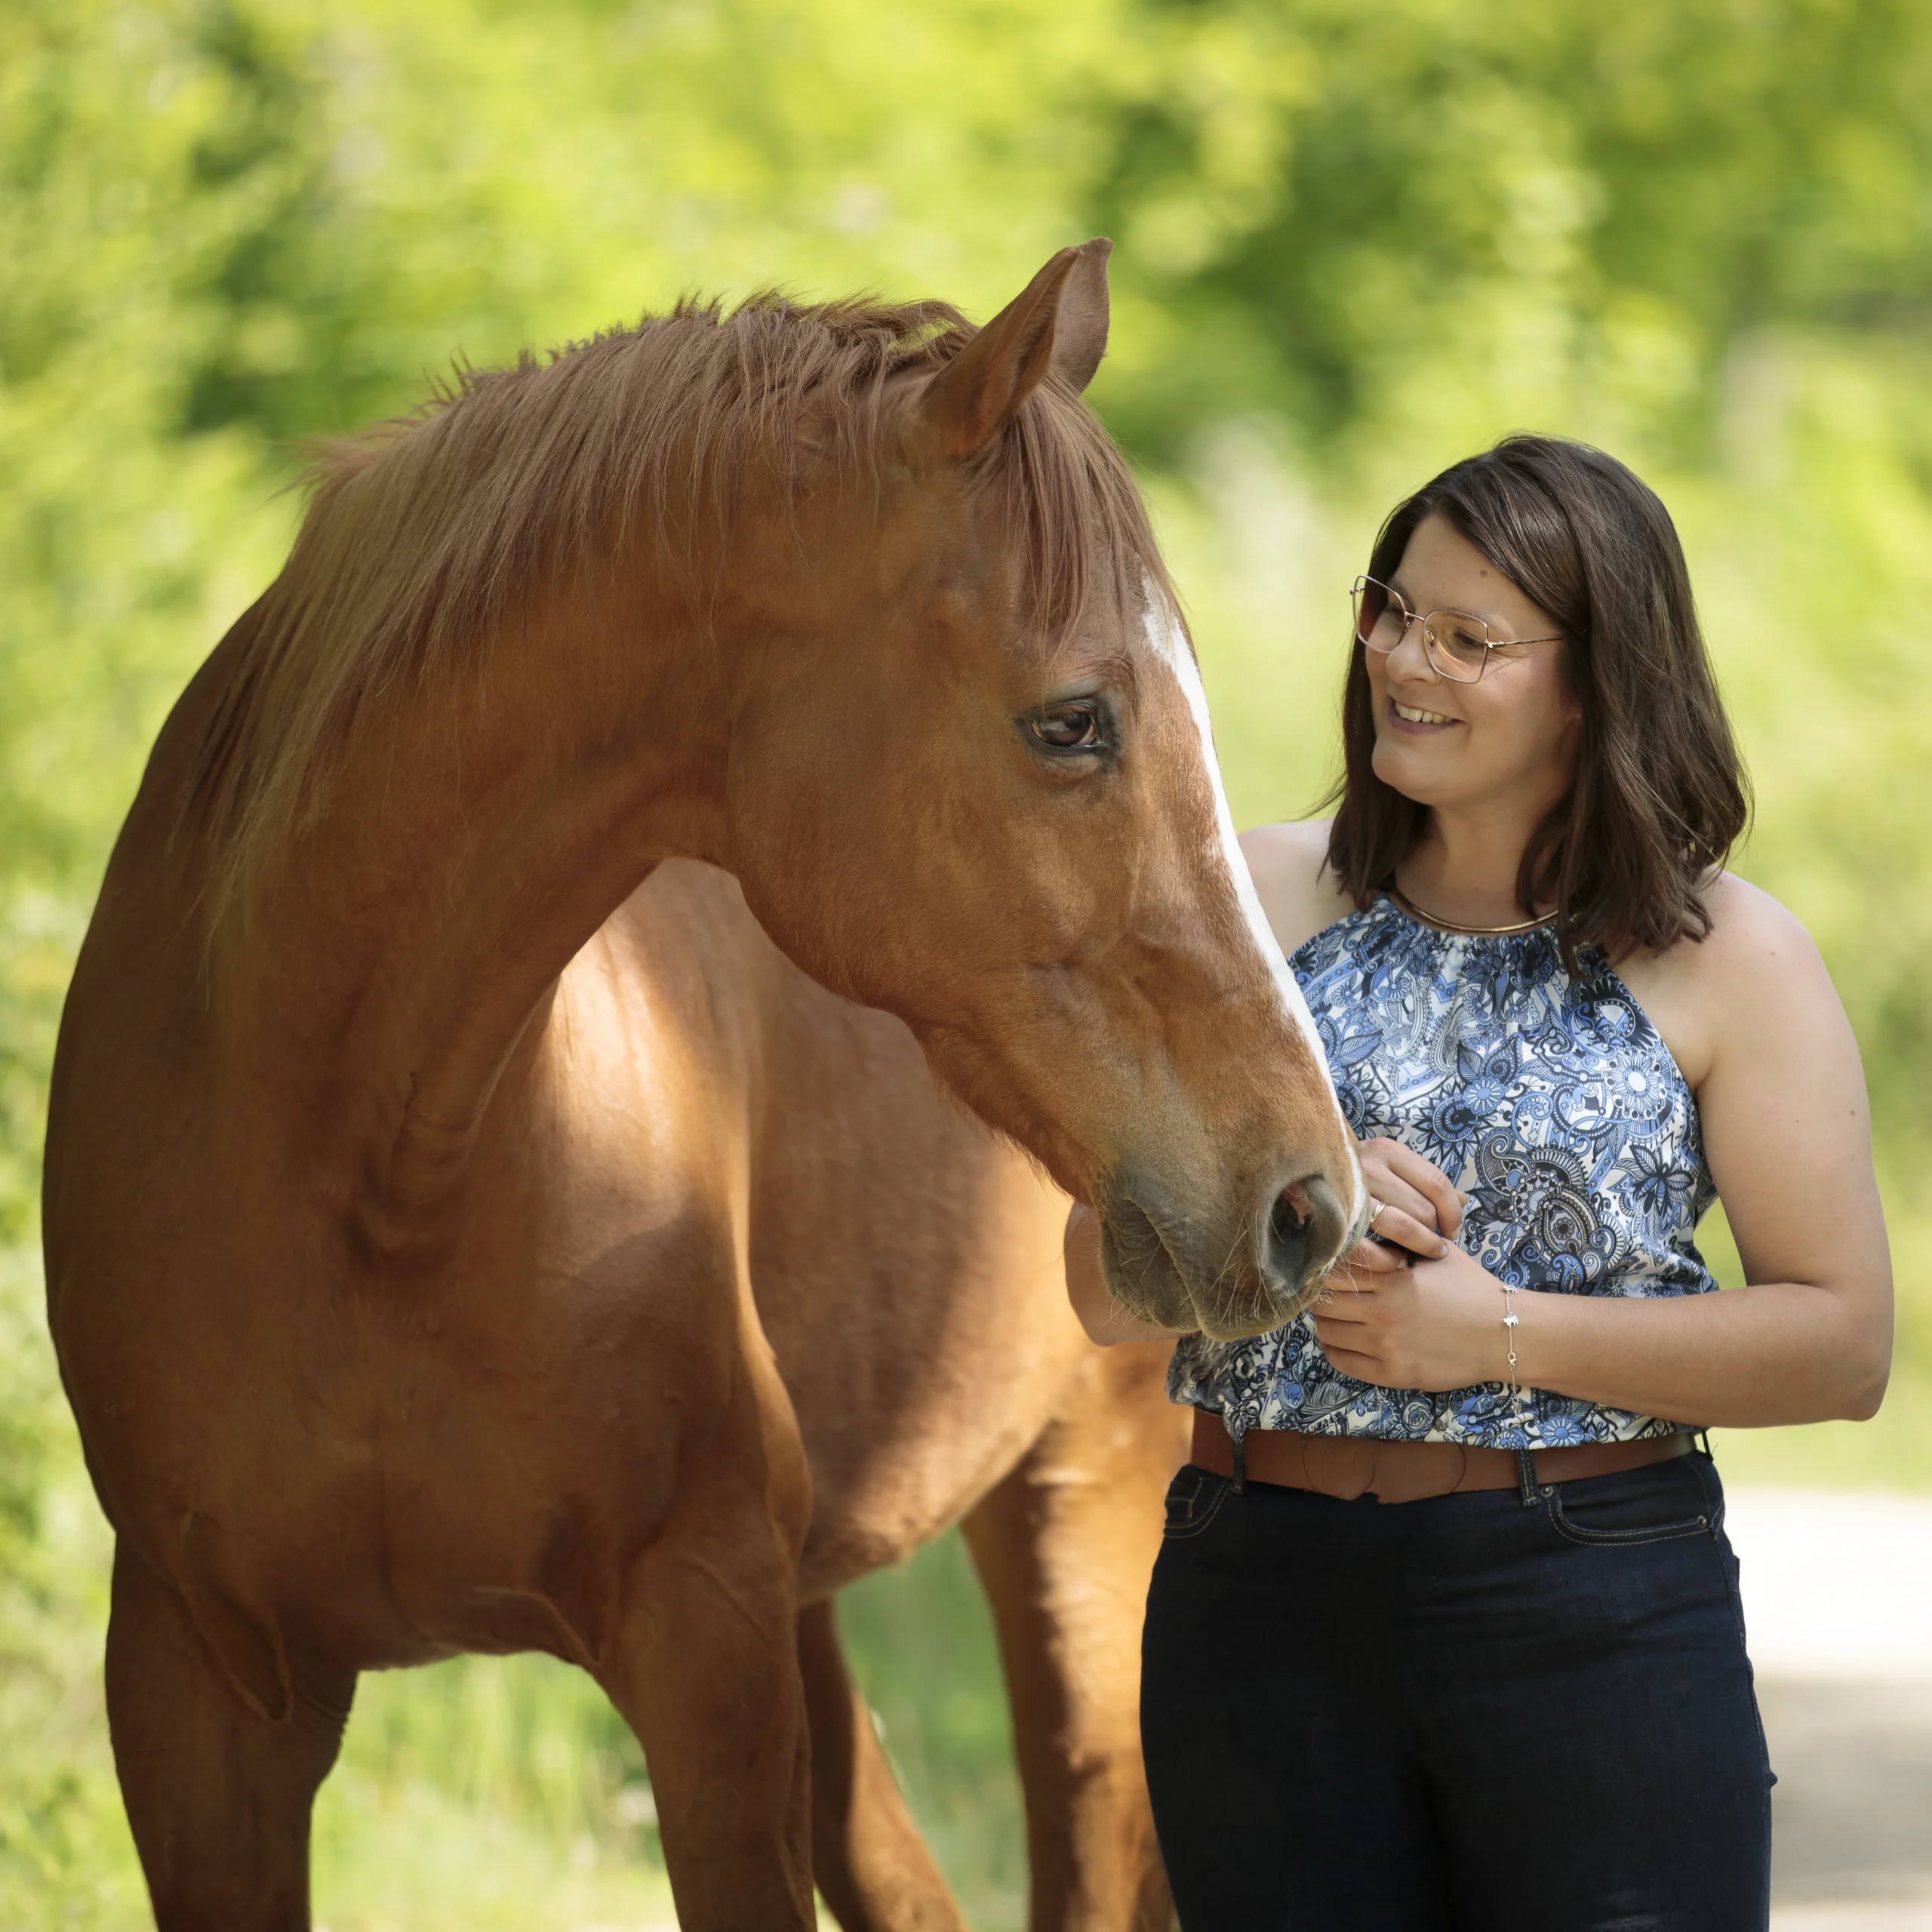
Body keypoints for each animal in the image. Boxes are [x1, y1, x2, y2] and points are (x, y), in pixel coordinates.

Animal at [43, 239, 1362, 1931]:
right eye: (1074, 720)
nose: (1306, 1195)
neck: (366, 1163)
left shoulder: (707, 1650)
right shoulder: (198, 1702)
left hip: (1081, 1525)